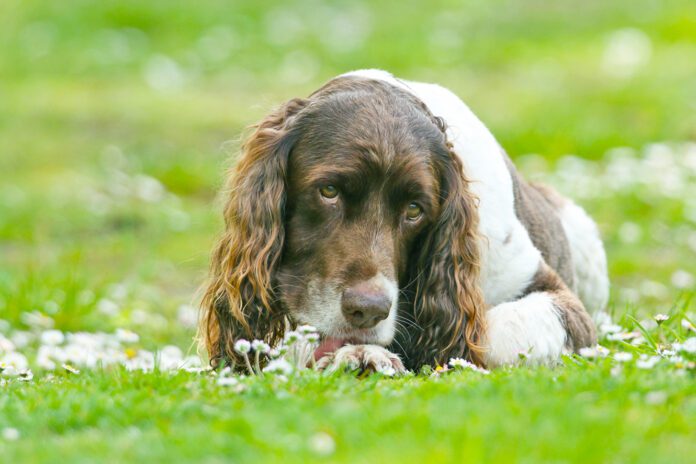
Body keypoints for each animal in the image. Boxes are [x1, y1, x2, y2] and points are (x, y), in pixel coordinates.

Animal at [201, 69, 608, 374]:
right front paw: (361, 354)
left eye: (415, 210)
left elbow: (489, 336)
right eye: (328, 191)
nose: (368, 310)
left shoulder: (559, 300)